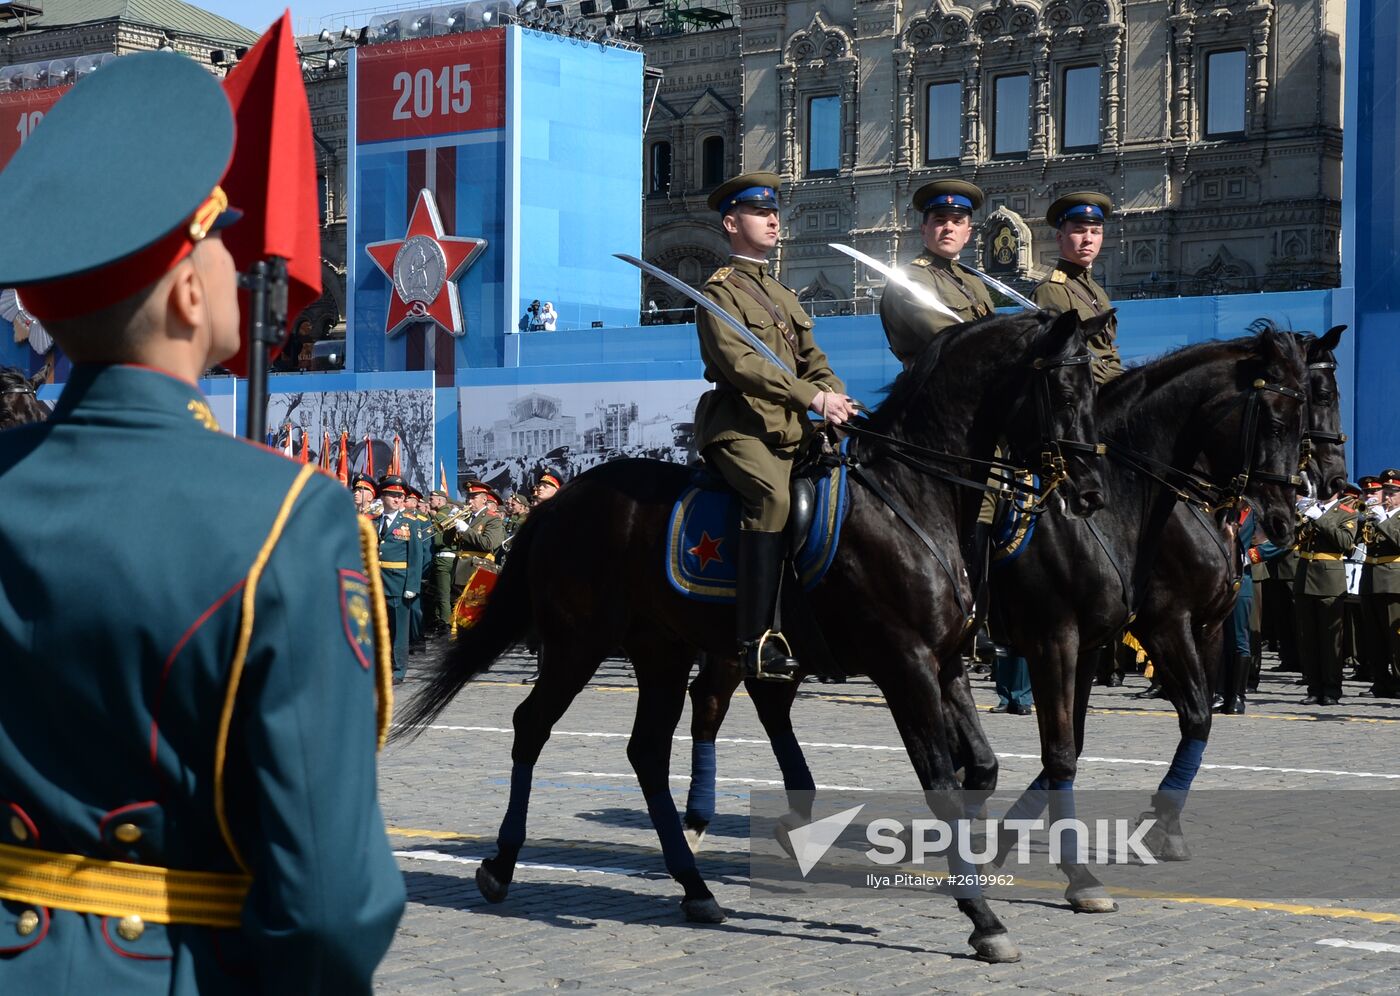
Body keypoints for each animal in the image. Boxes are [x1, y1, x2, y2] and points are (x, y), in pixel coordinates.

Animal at [403, 310, 1103, 963]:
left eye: (1095, 388)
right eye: (1064, 388)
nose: (1091, 492)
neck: (912, 496)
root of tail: (557, 502)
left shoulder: (949, 662)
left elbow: (980, 769)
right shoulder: (903, 665)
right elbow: (941, 781)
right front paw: (982, 916)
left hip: (661, 652)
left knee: (647, 751)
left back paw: (694, 887)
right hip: (578, 644)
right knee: (533, 726)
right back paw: (501, 864)